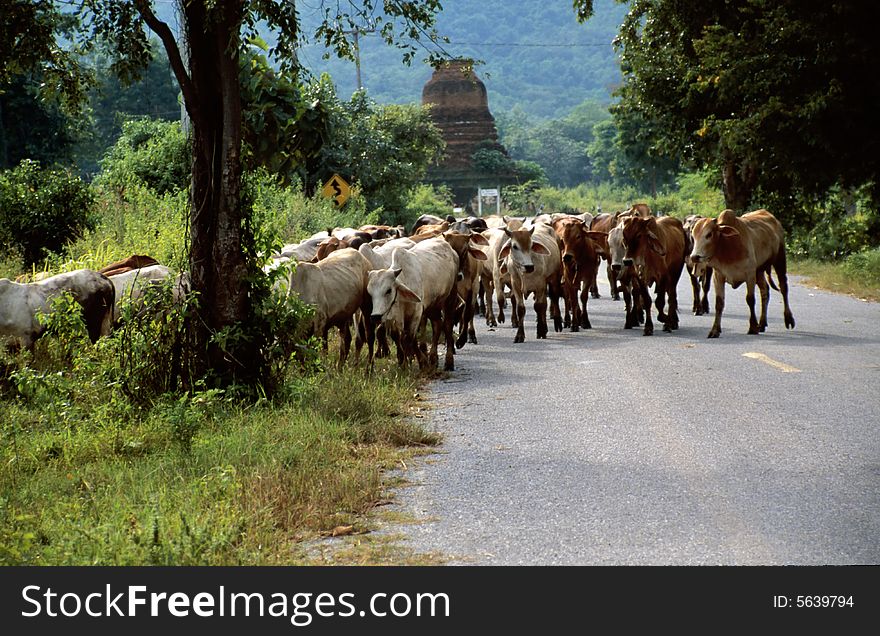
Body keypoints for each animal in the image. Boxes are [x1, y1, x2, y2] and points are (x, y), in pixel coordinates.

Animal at [692, 209, 796, 338]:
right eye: (693, 236)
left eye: (709, 234)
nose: (695, 257)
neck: (728, 246)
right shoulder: (718, 276)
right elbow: (719, 303)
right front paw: (715, 330)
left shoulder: (750, 274)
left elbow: (750, 299)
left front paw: (752, 327)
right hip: (759, 271)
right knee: (765, 290)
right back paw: (762, 323)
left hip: (779, 261)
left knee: (783, 287)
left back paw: (788, 319)